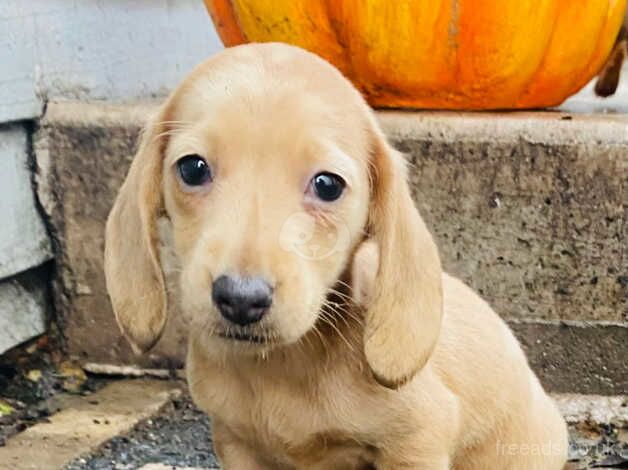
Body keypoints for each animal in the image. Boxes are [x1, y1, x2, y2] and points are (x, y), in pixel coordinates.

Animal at [104, 44, 568, 470]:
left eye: (328, 185)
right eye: (193, 168)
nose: (241, 299)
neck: (284, 366)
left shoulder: (415, 441)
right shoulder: (235, 442)